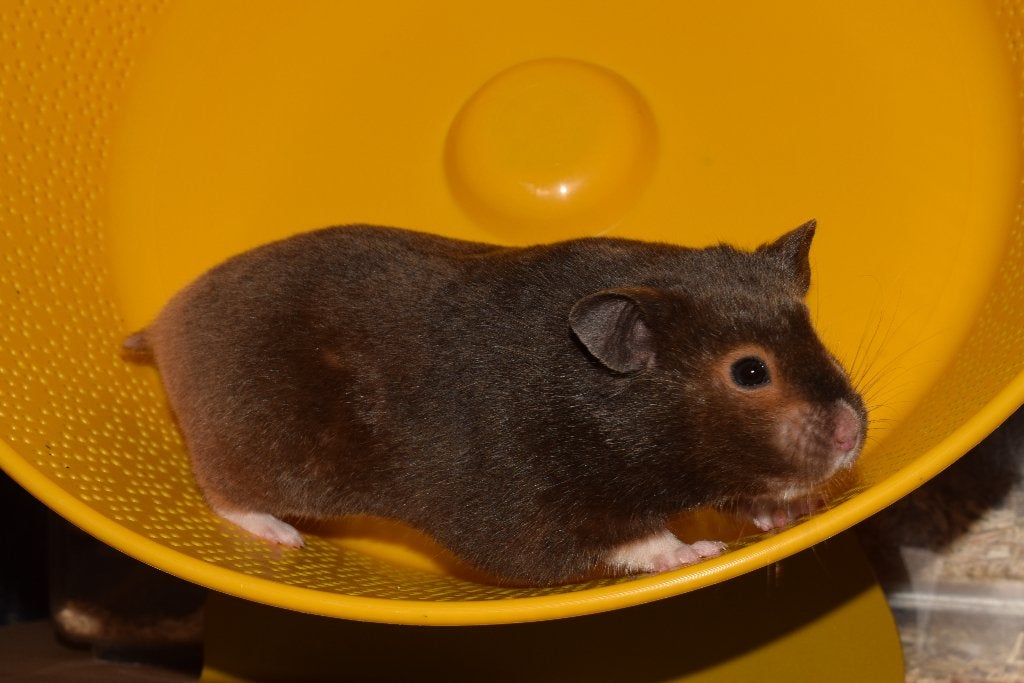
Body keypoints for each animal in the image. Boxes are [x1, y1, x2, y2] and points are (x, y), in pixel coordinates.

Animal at [126, 220, 866, 586]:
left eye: (812, 329)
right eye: (750, 371)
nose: (853, 432)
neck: (598, 399)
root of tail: (161, 328)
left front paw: (793, 509)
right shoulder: (525, 513)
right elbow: (634, 536)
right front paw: (699, 549)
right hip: (264, 452)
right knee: (224, 491)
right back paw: (281, 534)